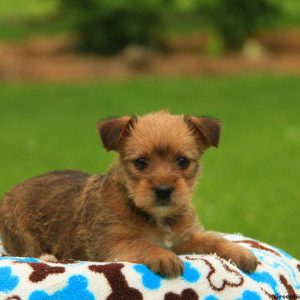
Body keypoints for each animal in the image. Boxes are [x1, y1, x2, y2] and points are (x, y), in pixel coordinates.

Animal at [0, 110, 258, 276]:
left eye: (183, 161)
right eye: (141, 163)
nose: (163, 191)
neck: (157, 217)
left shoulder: (186, 237)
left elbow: (213, 239)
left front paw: (240, 252)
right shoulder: (112, 243)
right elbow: (141, 244)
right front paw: (163, 256)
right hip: (22, 235)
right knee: (26, 251)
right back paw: (48, 257)